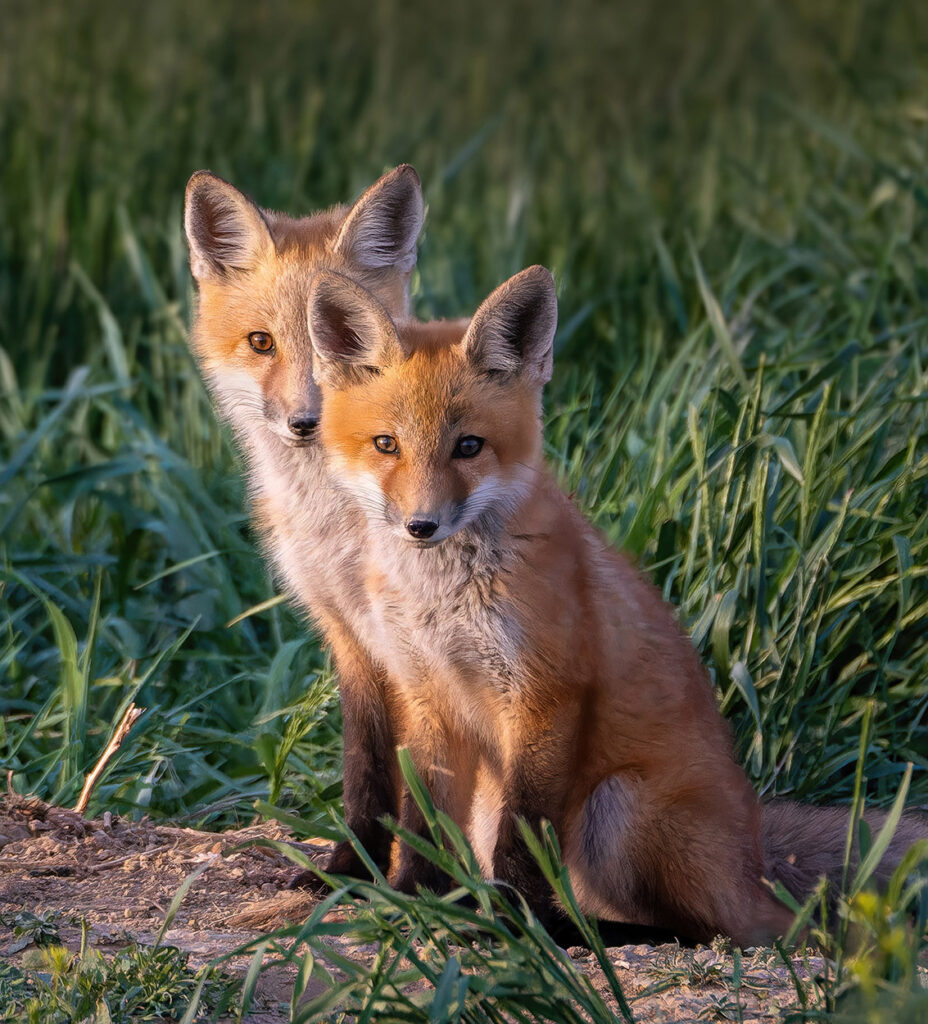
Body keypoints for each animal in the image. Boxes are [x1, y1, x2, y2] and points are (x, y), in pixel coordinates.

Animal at [183, 166, 426, 880]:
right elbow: (366, 764)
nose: (306, 423)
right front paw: (353, 868)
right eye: (262, 343)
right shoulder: (347, 633)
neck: (338, 530)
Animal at [305, 265, 928, 946]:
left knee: (715, 929)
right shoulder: (425, 694)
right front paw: (414, 898)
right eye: (386, 444)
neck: (443, 601)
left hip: (618, 806)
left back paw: (580, 931)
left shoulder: (548, 693)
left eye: (468, 446)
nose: (422, 525)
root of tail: (757, 857)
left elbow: (525, 831)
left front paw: (512, 922)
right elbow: (422, 820)